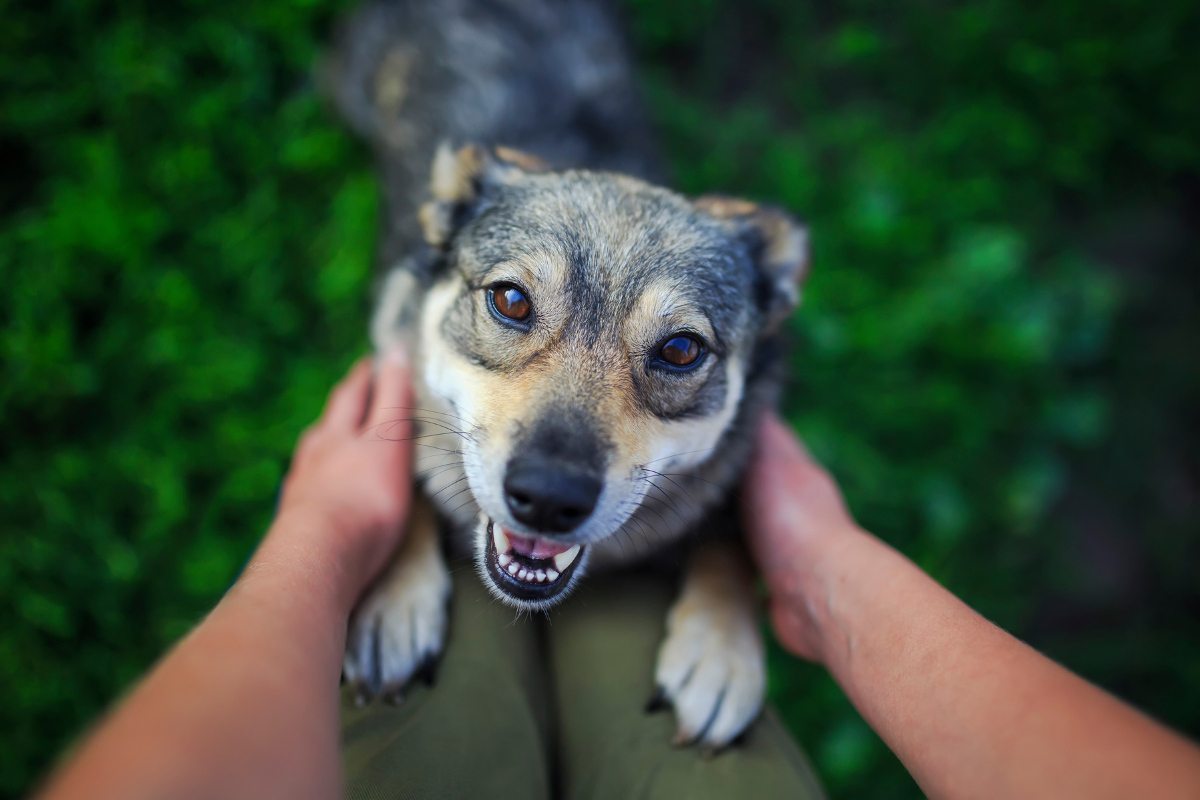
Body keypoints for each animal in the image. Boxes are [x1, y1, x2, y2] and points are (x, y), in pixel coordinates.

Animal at [333, 0, 811, 753]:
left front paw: (720, 649)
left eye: (681, 349)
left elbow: (728, 531)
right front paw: (393, 596)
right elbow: (405, 470)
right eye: (510, 300)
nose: (549, 500)